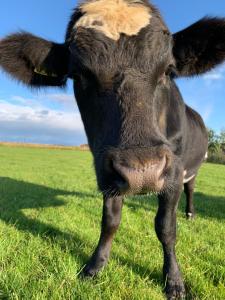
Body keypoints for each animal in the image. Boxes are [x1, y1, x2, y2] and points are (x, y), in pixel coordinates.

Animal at [0, 1, 225, 298]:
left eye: (168, 70)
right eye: (79, 75)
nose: (143, 171)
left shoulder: (173, 173)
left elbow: (166, 227)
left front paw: (174, 280)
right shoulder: (108, 173)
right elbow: (110, 221)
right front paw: (94, 266)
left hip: (192, 169)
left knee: (190, 190)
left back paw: (189, 213)